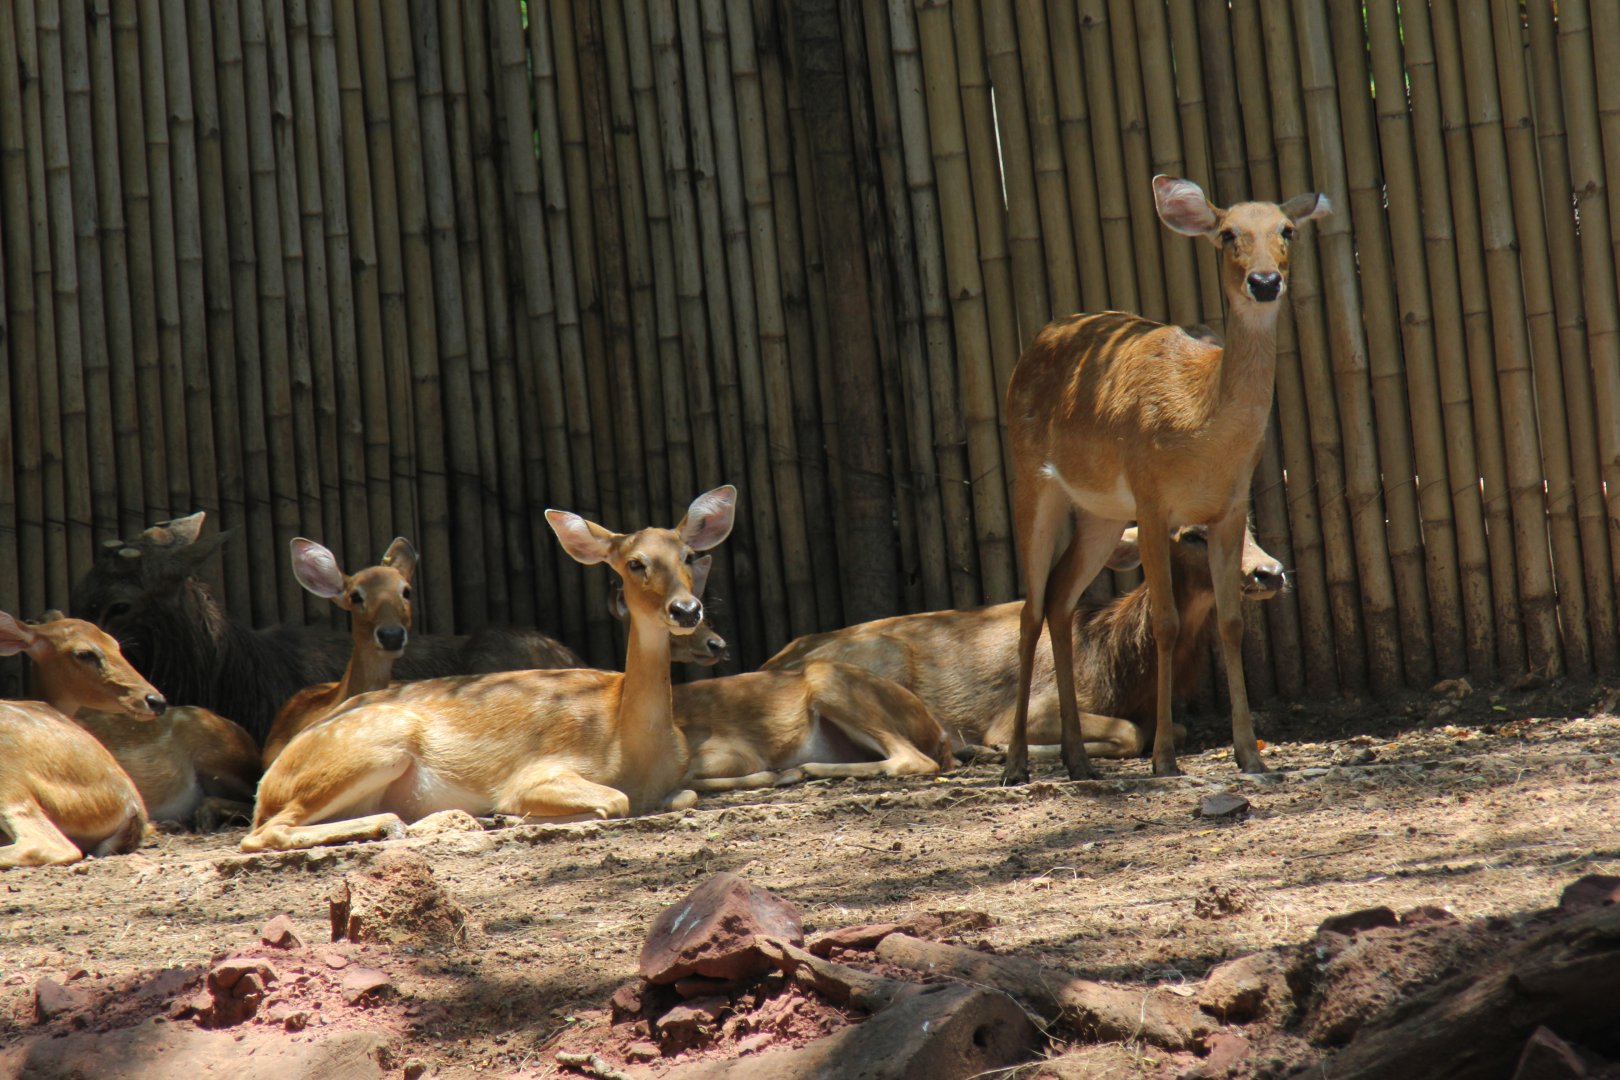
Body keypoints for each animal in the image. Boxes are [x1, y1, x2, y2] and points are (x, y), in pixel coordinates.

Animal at [0, 612, 167, 867]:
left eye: (115, 645)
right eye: (84, 653)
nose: (156, 700)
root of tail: (133, 806)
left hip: (10, 779)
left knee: (48, 844)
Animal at [764, 524, 1286, 760]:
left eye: (1248, 524)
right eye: (1191, 534)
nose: (1270, 571)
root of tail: (774, 660)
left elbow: (1170, 728)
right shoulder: (1035, 704)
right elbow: (1128, 733)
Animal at [1002, 175, 1327, 783]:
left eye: (1287, 230)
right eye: (1228, 234)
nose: (1264, 281)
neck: (1199, 428)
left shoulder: (1229, 508)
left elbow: (1231, 622)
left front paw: (1251, 756)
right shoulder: (1153, 502)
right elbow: (1166, 623)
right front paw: (1164, 760)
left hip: (1102, 515)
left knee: (1059, 597)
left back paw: (1079, 761)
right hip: (1032, 480)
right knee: (1031, 607)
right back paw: (1015, 766)